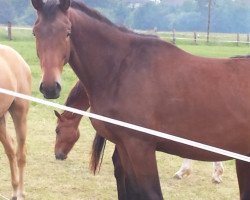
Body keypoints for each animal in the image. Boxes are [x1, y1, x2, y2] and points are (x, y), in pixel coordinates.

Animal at [31, 0, 250, 199]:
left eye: (67, 32)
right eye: (35, 33)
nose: (50, 87)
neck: (121, 69)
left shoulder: (140, 148)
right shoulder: (124, 147)